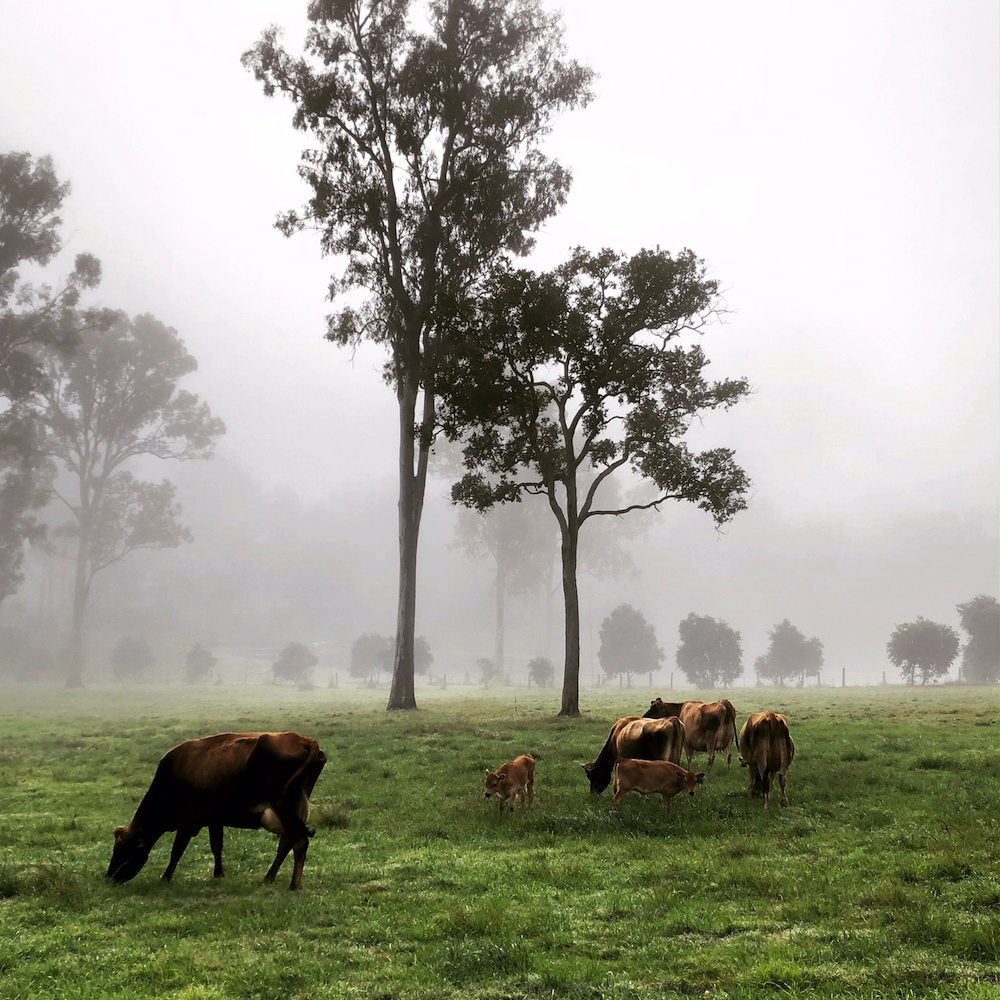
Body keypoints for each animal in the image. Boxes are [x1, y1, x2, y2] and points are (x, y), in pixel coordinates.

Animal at [109, 728, 328, 892]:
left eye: (122, 849)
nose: (109, 877)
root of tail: (306, 741)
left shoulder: (188, 821)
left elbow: (177, 850)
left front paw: (166, 877)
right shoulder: (214, 819)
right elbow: (216, 845)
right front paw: (218, 874)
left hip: (285, 808)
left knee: (299, 842)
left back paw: (294, 884)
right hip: (292, 810)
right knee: (287, 843)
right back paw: (269, 877)